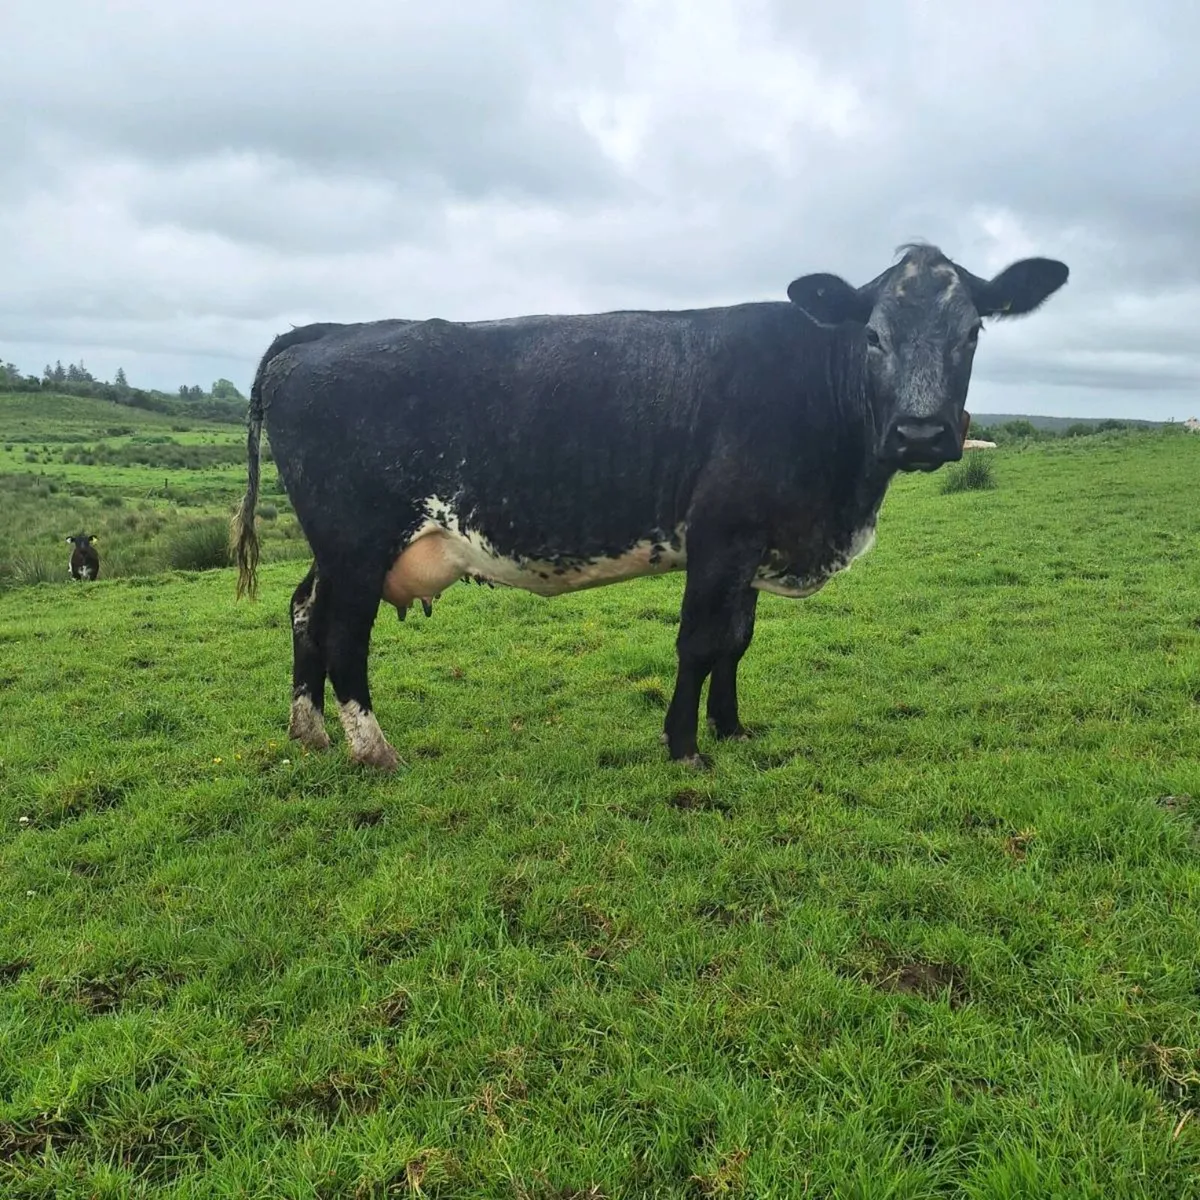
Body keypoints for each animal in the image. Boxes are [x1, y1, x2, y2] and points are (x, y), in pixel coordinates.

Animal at [231, 243, 1068, 771]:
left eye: (973, 331)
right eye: (871, 335)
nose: (922, 432)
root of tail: (322, 332)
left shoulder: (753, 545)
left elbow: (736, 643)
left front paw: (733, 729)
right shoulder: (721, 537)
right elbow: (699, 643)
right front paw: (685, 746)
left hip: (337, 547)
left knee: (302, 611)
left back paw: (308, 733)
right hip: (356, 540)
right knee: (342, 635)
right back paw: (374, 751)